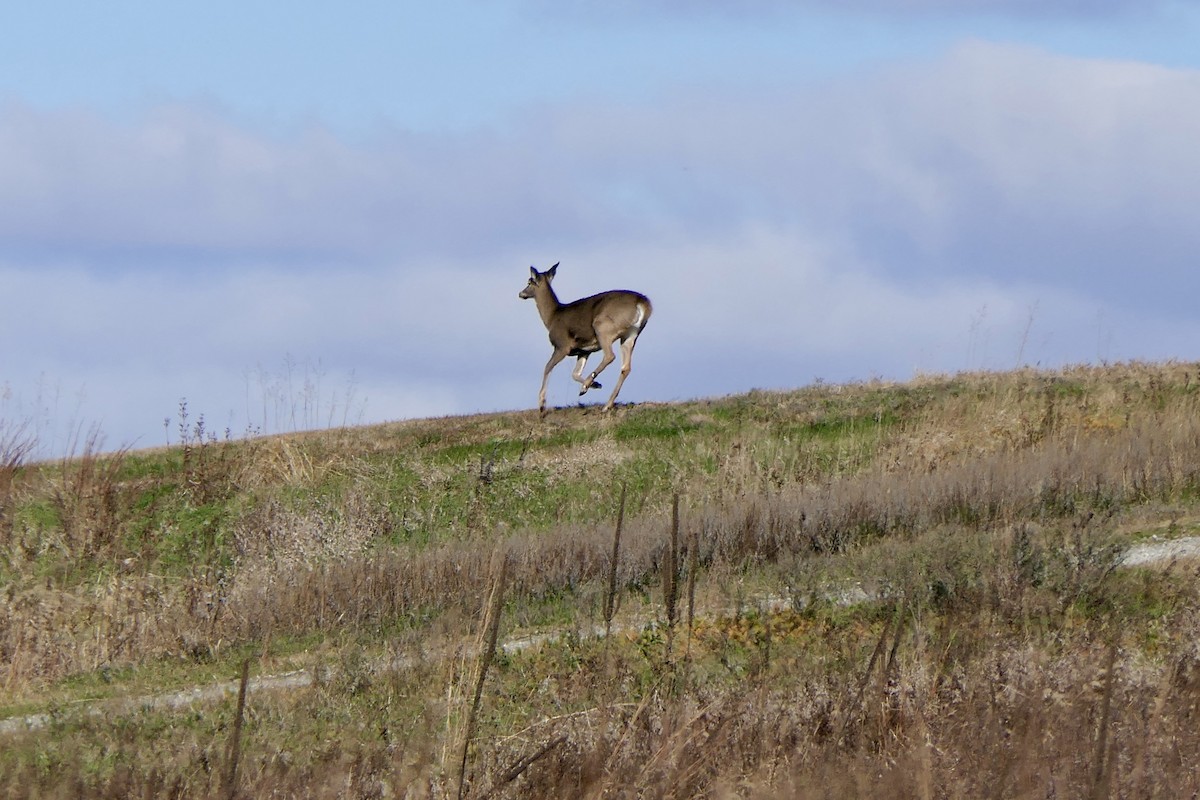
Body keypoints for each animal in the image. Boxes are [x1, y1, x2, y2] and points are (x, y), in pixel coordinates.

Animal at [519, 263, 653, 414]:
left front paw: (542, 405)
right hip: (631, 335)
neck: (552, 317)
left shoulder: (562, 345)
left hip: (602, 327)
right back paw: (606, 404)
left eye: (529, 282)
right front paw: (595, 384)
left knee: (610, 356)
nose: (521, 293)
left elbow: (547, 367)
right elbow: (575, 373)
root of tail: (643, 303)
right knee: (626, 367)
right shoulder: (584, 350)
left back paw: (588, 388)